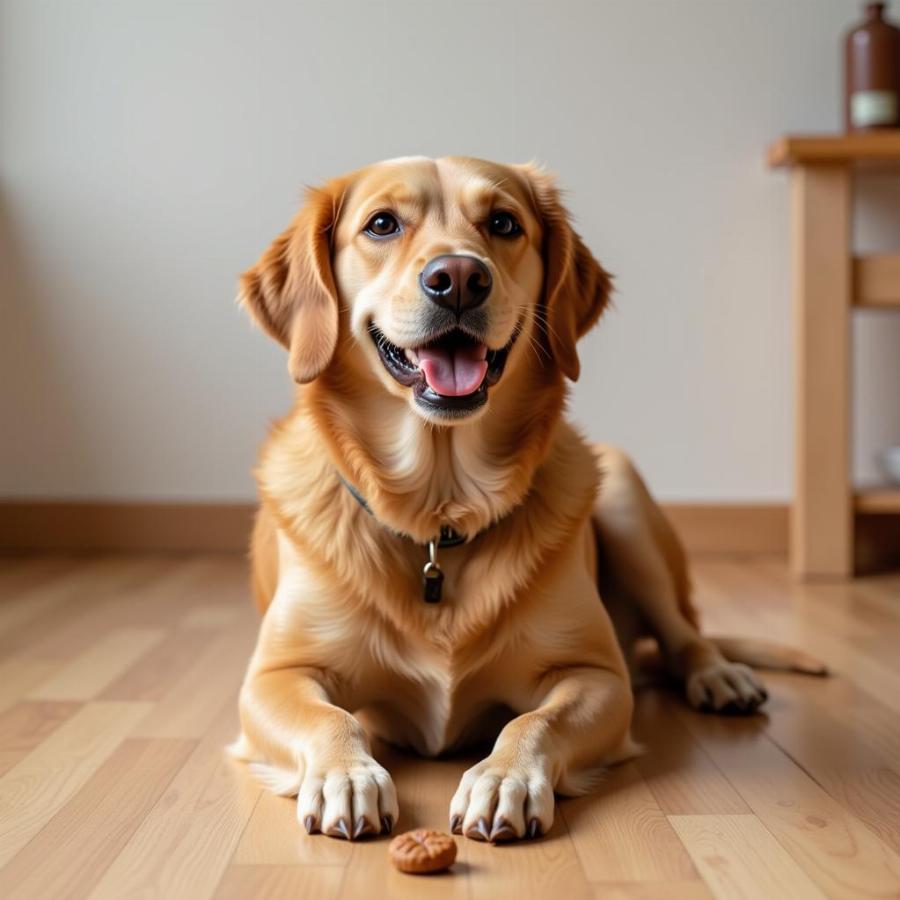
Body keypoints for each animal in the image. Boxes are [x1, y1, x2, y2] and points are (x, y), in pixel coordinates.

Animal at [230, 156, 824, 844]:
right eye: (381, 224)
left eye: (503, 224)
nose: (458, 279)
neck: (439, 517)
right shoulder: (273, 677)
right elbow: (332, 717)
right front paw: (347, 776)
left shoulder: (597, 674)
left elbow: (533, 721)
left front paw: (502, 778)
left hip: (623, 496)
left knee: (685, 634)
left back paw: (719, 675)